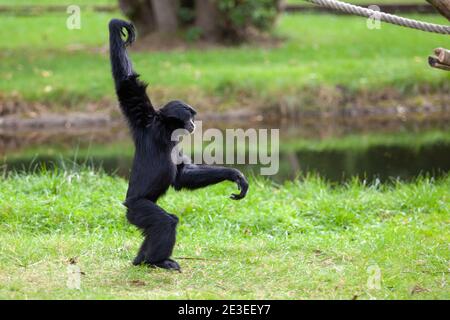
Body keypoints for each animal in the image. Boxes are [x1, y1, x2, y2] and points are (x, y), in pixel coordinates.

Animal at [109, 19, 250, 270]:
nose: (193, 124)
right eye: (190, 117)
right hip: (138, 207)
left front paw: (234, 175)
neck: (164, 130)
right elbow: (126, 83)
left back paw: (141, 260)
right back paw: (156, 260)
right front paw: (117, 26)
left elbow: (182, 174)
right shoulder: (143, 119)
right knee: (165, 222)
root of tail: (127, 204)